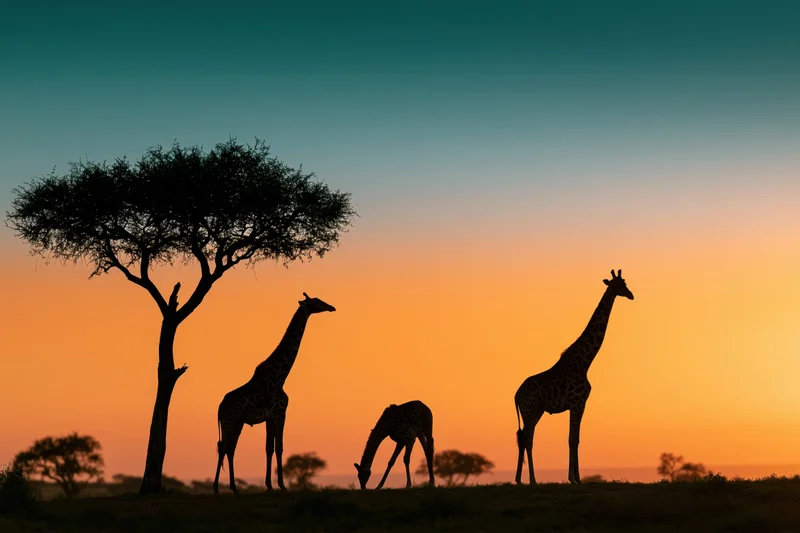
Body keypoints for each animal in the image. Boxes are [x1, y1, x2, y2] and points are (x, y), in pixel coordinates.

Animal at [213, 292, 336, 493]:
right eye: (317, 302)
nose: (331, 307)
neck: (281, 375)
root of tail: (219, 408)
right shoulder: (280, 412)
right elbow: (279, 447)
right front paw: (282, 485)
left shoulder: (269, 417)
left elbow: (268, 448)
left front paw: (269, 485)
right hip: (232, 421)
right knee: (226, 447)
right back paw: (219, 487)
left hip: (234, 422)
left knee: (228, 448)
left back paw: (231, 486)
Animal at [514, 269, 634, 485]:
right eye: (619, 285)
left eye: (625, 283)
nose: (631, 295)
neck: (584, 362)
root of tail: (516, 396)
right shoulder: (578, 402)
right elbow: (572, 439)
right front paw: (574, 479)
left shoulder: (578, 404)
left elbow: (575, 439)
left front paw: (576, 478)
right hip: (530, 410)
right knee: (527, 438)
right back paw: (533, 480)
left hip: (536, 411)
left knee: (523, 437)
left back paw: (519, 480)